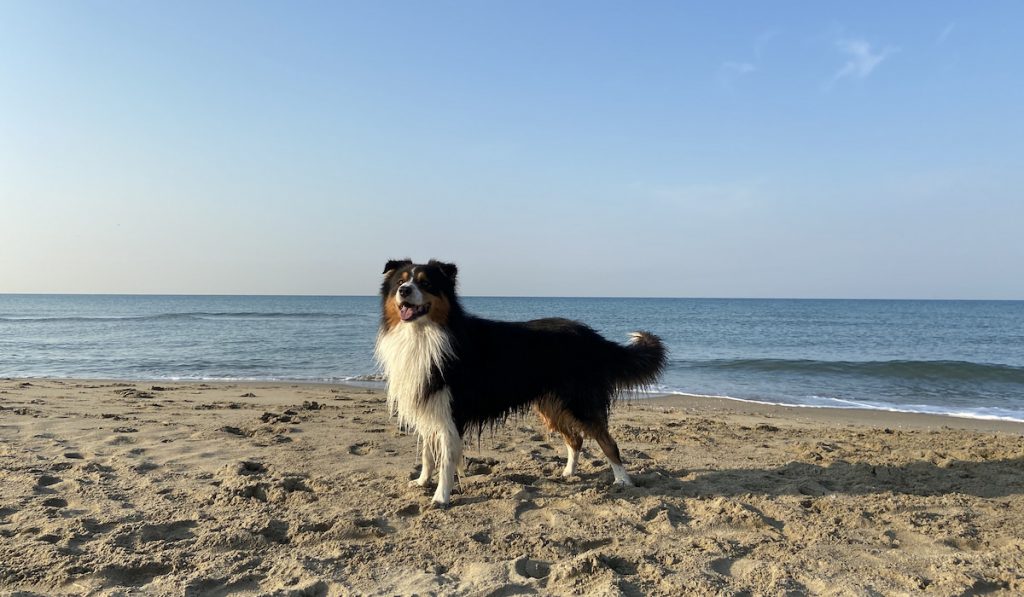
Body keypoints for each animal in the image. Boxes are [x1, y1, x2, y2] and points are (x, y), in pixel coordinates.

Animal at [372, 259, 667, 507]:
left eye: (426, 283)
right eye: (400, 282)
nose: (405, 291)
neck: (425, 333)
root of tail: (594, 338)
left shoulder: (451, 411)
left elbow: (446, 459)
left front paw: (440, 497)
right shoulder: (429, 404)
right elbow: (427, 453)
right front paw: (422, 482)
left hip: (579, 403)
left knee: (607, 442)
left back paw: (623, 481)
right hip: (552, 405)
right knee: (576, 439)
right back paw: (568, 472)